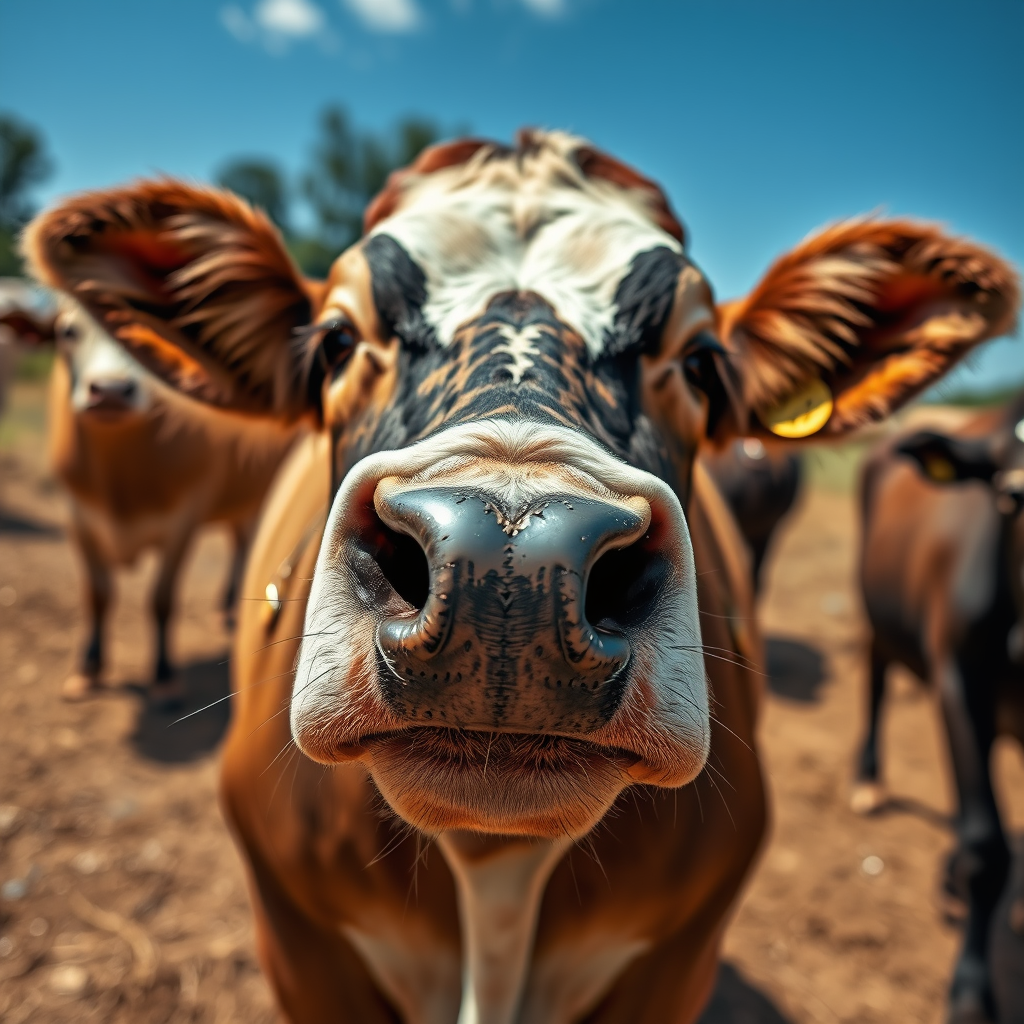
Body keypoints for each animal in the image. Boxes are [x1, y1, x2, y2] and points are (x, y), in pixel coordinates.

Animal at [0, 295, 302, 705]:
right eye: (68, 331)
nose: (111, 391)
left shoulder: (183, 521)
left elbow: (161, 600)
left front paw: (164, 678)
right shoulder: (77, 516)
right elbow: (98, 595)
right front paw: (88, 670)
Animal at [852, 394, 1024, 1022]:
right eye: (1013, 496)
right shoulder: (959, 680)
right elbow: (985, 848)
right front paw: (972, 992)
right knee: (876, 674)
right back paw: (868, 779)